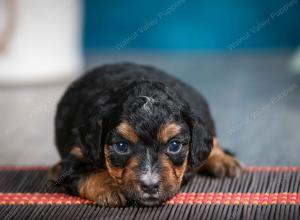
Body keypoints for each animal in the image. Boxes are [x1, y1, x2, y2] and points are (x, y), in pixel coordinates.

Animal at [51, 62, 244, 207]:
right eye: (121, 146)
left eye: (174, 145)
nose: (150, 186)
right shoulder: (76, 155)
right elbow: (87, 171)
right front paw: (111, 187)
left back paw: (224, 161)